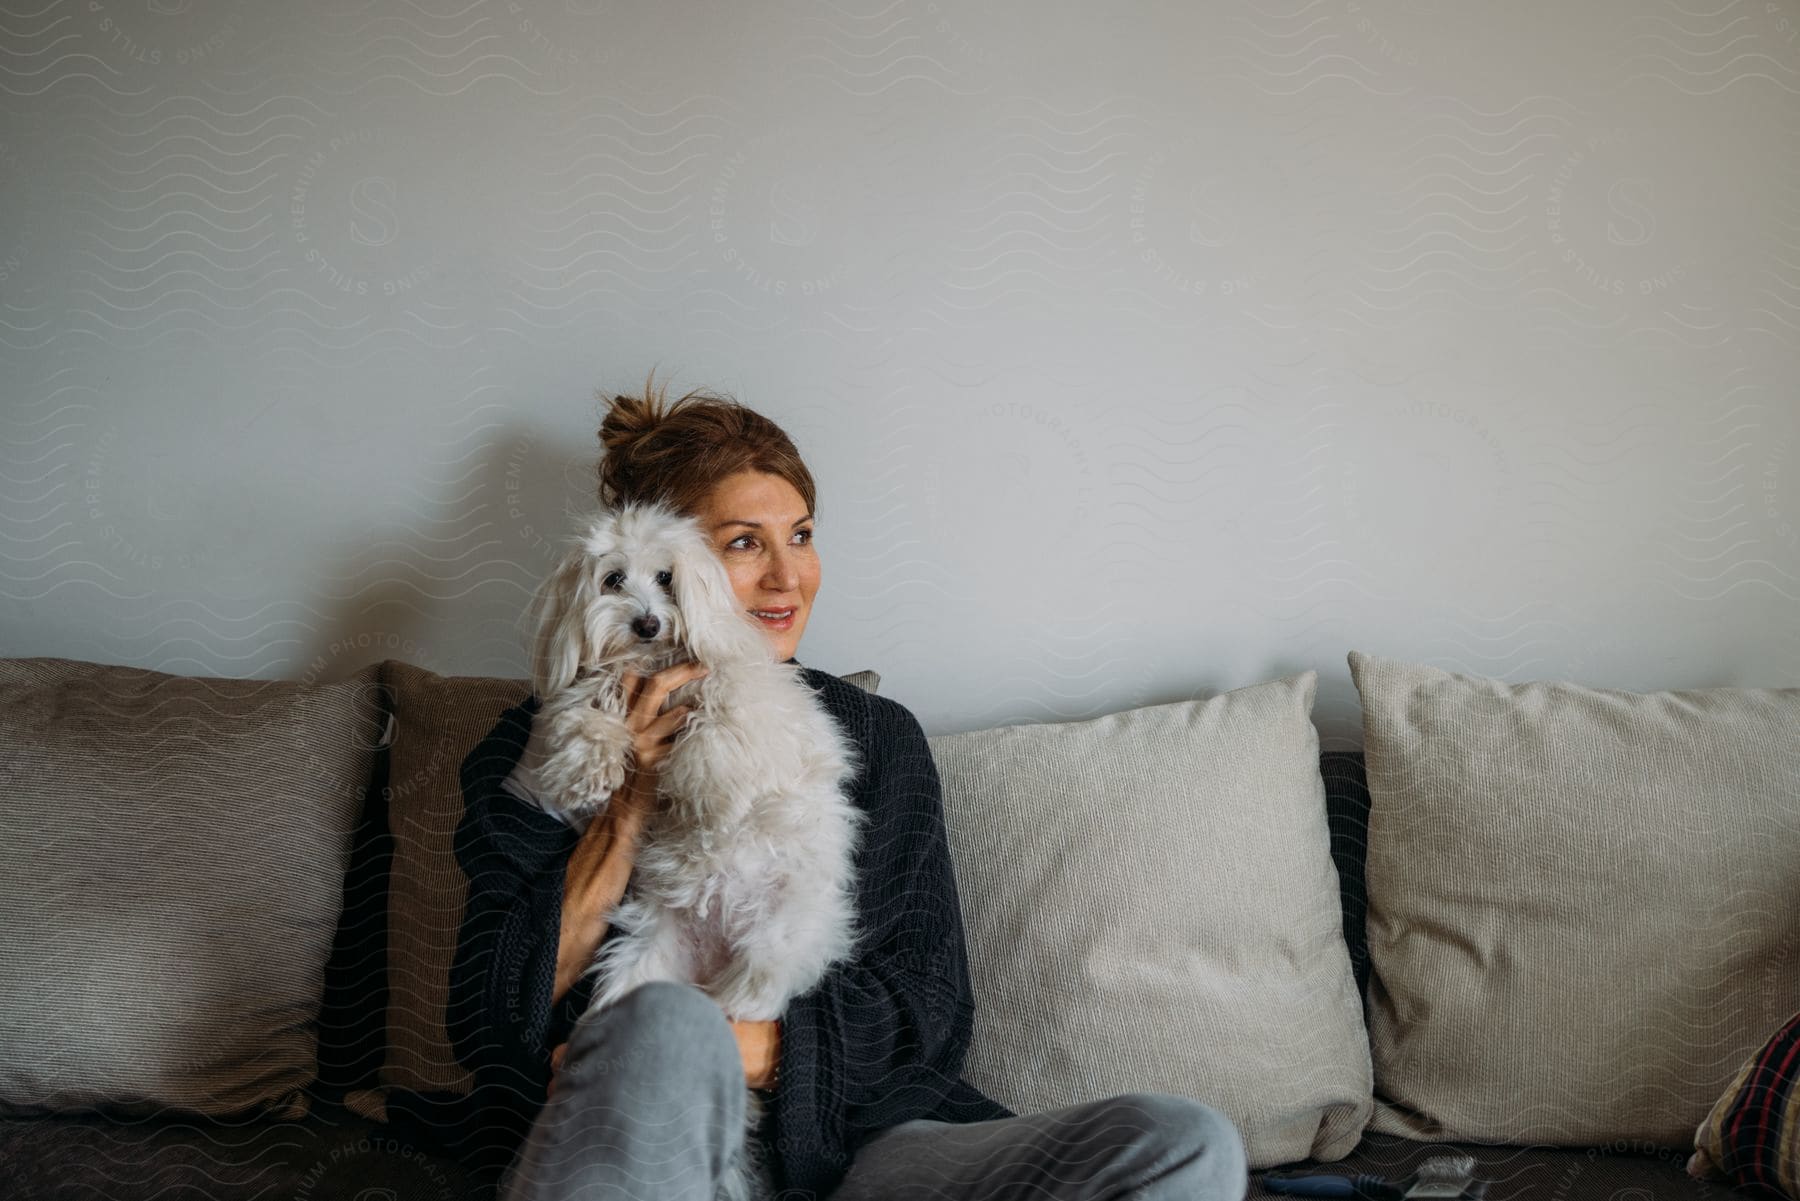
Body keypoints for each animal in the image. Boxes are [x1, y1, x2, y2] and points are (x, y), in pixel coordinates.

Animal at [522, 500, 864, 1201]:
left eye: (667, 578)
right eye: (613, 580)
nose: (648, 623)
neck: (656, 668)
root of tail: (715, 956)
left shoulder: (742, 696)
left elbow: (719, 725)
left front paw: (705, 787)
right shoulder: (598, 688)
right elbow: (586, 718)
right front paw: (588, 770)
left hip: (792, 919)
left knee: (770, 975)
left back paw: (742, 995)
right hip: (639, 963)